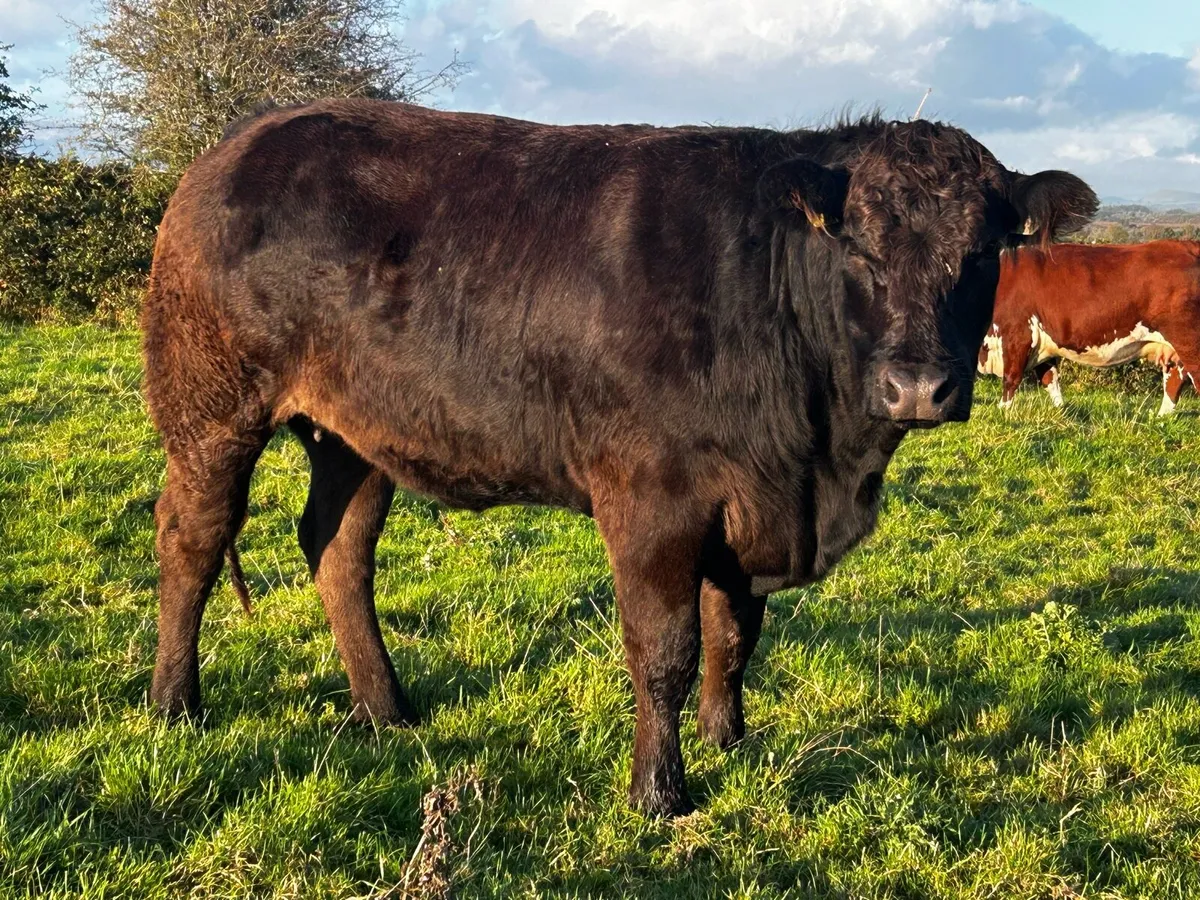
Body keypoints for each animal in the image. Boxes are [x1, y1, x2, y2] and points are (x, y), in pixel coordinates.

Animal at [141, 99, 1097, 816]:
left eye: (984, 250)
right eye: (857, 245)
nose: (917, 386)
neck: (822, 463)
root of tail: (238, 143)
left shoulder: (751, 495)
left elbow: (734, 635)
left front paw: (728, 739)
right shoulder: (653, 496)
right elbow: (664, 648)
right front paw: (659, 792)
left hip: (356, 433)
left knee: (338, 550)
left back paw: (388, 710)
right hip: (211, 406)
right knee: (192, 540)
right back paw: (175, 706)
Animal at [977, 240, 1200, 414]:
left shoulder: (1017, 334)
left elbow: (1011, 378)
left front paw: (1003, 411)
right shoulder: (1042, 342)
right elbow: (1050, 379)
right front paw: (1061, 410)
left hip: (1189, 343)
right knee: (1174, 381)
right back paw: (1160, 418)